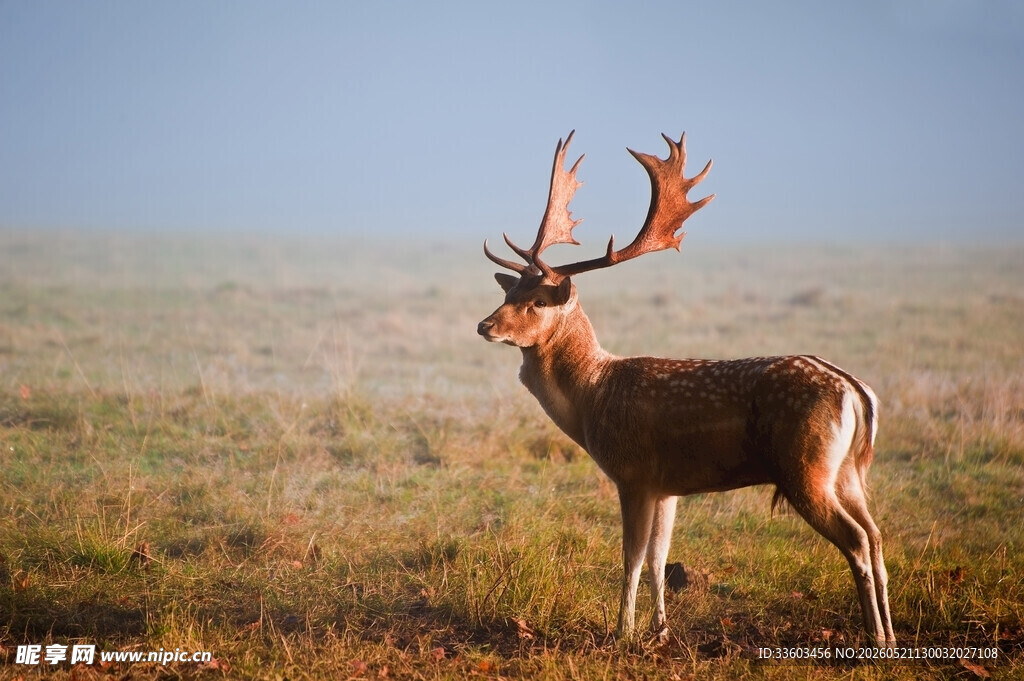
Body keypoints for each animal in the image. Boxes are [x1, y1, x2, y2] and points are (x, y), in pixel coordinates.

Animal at [477, 131, 896, 647]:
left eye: (536, 301)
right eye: (507, 292)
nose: (485, 325)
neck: (592, 396)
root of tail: (856, 391)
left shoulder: (633, 472)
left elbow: (633, 559)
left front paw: (622, 633)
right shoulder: (666, 486)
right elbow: (659, 559)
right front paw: (659, 629)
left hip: (806, 467)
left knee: (856, 540)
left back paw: (876, 639)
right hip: (848, 471)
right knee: (875, 535)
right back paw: (891, 635)